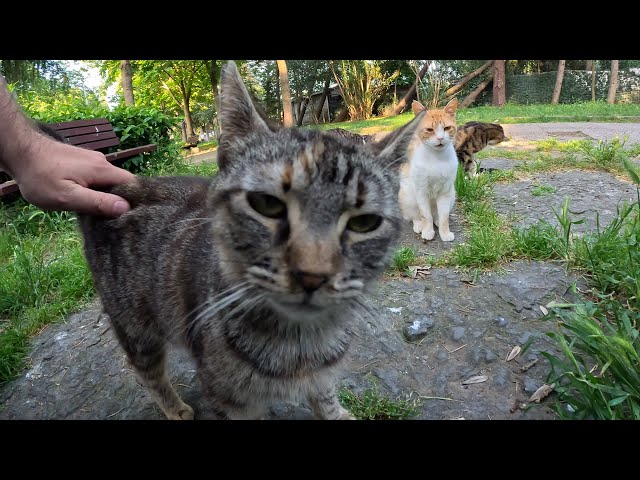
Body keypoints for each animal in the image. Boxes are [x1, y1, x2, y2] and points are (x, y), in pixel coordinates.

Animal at [76, 61, 424, 420]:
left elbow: (324, 391)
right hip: (134, 326)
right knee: (146, 371)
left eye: (364, 222)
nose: (312, 276)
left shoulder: (320, 374)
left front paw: (335, 412)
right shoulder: (227, 398)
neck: (302, 343)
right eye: (267, 204)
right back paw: (174, 408)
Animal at [398, 97, 458, 240]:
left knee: (436, 215)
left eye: (447, 128)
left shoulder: (445, 192)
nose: (440, 138)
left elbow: (444, 217)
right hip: (408, 196)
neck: (437, 158)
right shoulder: (422, 192)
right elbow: (426, 216)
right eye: (430, 130)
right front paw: (428, 231)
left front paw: (444, 233)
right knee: (414, 216)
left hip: (452, 194)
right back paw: (419, 225)